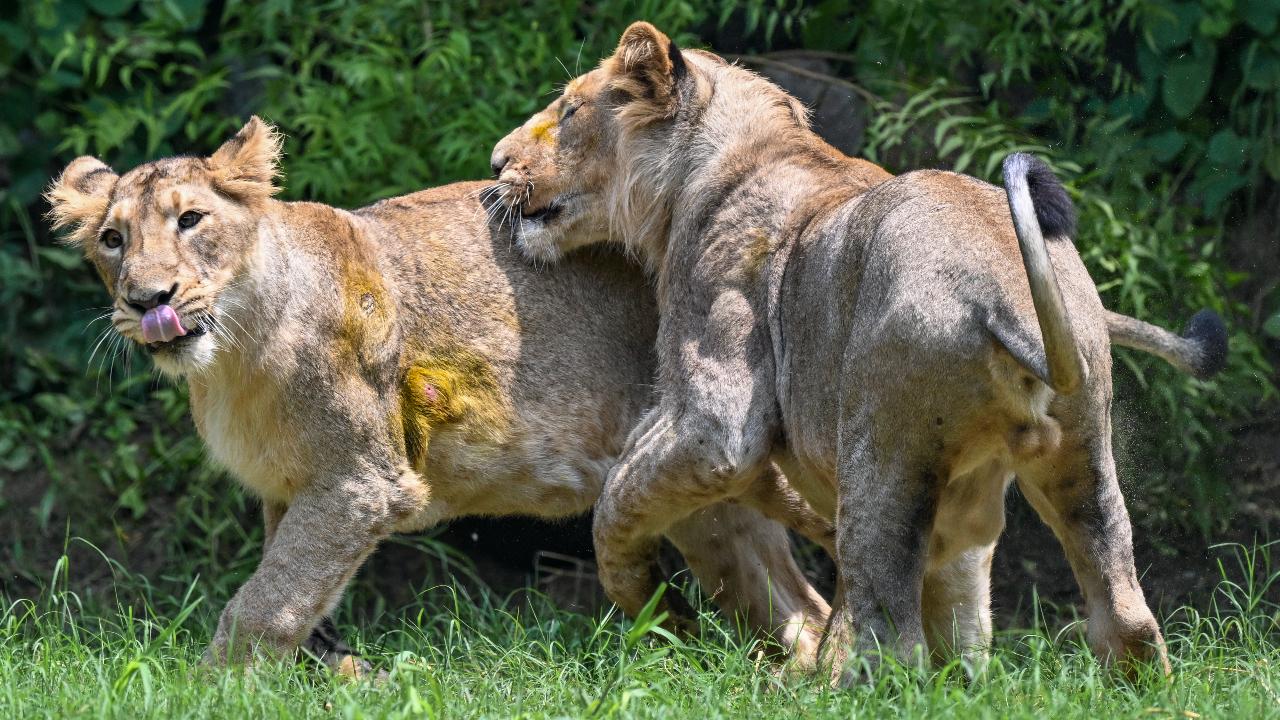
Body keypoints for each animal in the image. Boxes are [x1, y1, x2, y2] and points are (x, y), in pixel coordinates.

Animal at [44, 117, 838, 672]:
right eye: (113, 240)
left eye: (191, 220)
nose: (149, 299)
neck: (232, 357)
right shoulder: (285, 489)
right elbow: (294, 592)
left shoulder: (361, 482)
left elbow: (265, 601)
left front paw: (213, 686)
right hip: (698, 502)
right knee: (797, 605)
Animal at [489, 22, 1228, 682]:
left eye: (571, 110)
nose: (496, 163)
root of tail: (1006, 291)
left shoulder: (715, 423)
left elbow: (621, 496)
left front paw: (647, 599)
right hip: (1080, 452)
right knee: (1119, 610)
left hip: (883, 445)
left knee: (889, 633)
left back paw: (829, 692)